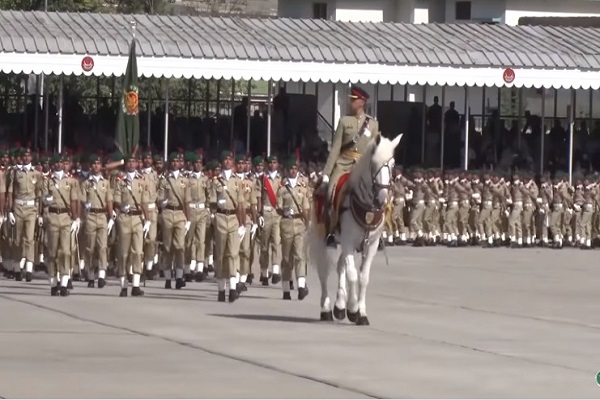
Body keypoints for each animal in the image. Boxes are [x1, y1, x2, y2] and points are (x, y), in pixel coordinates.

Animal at [308, 134, 400, 324]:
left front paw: (361, 312)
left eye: (393, 164)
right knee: (324, 270)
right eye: (374, 164)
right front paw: (352, 309)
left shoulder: (371, 245)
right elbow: (352, 275)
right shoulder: (348, 241)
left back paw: (339, 306)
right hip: (323, 238)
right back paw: (326, 308)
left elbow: (363, 278)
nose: (382, 199)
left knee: (340, 266)